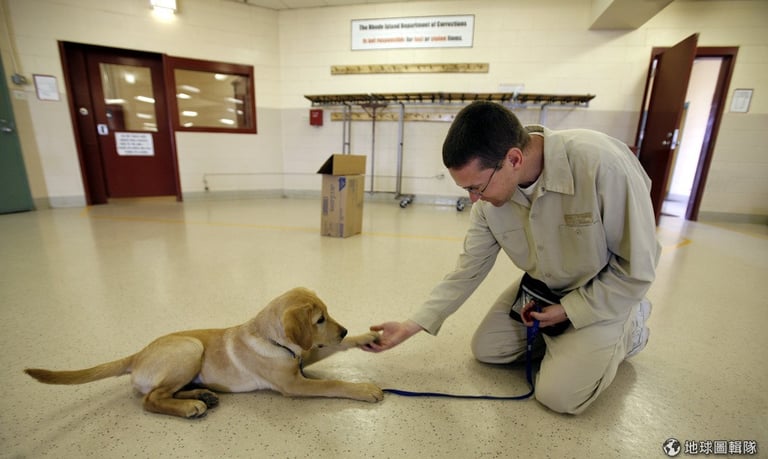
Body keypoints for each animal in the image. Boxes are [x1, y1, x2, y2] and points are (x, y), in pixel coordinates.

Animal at [24, 290, 384, 418]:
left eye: (328, 315)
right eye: (319, 320)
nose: (344, 330)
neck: (271, 340)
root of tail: (136, 355)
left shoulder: (303, 356)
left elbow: (328, 350)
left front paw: (367, 337)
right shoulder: (294, 383)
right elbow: (334, 384)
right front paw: (364, 389)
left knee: (163, 392)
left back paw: (202, 394)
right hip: (189, 347)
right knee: (150, 399)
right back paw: (190, 407)